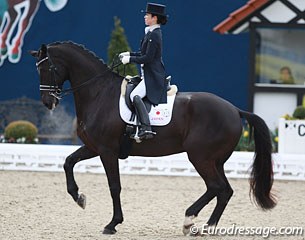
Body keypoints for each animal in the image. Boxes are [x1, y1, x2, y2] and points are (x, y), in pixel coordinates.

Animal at [30, 42, 276, 235]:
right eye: (38, 69)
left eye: (48, 68)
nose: (47, 102)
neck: (99, 93)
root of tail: (234, 110)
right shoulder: (93, 146)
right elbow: (68, 162)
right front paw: (79, 197)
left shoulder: (107, 150)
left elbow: (114, 186)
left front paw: (112, 224)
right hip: (216, 160)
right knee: (224, 190)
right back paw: (208, 227)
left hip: (201, 157)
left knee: (216, 187)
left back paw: (189, 220)